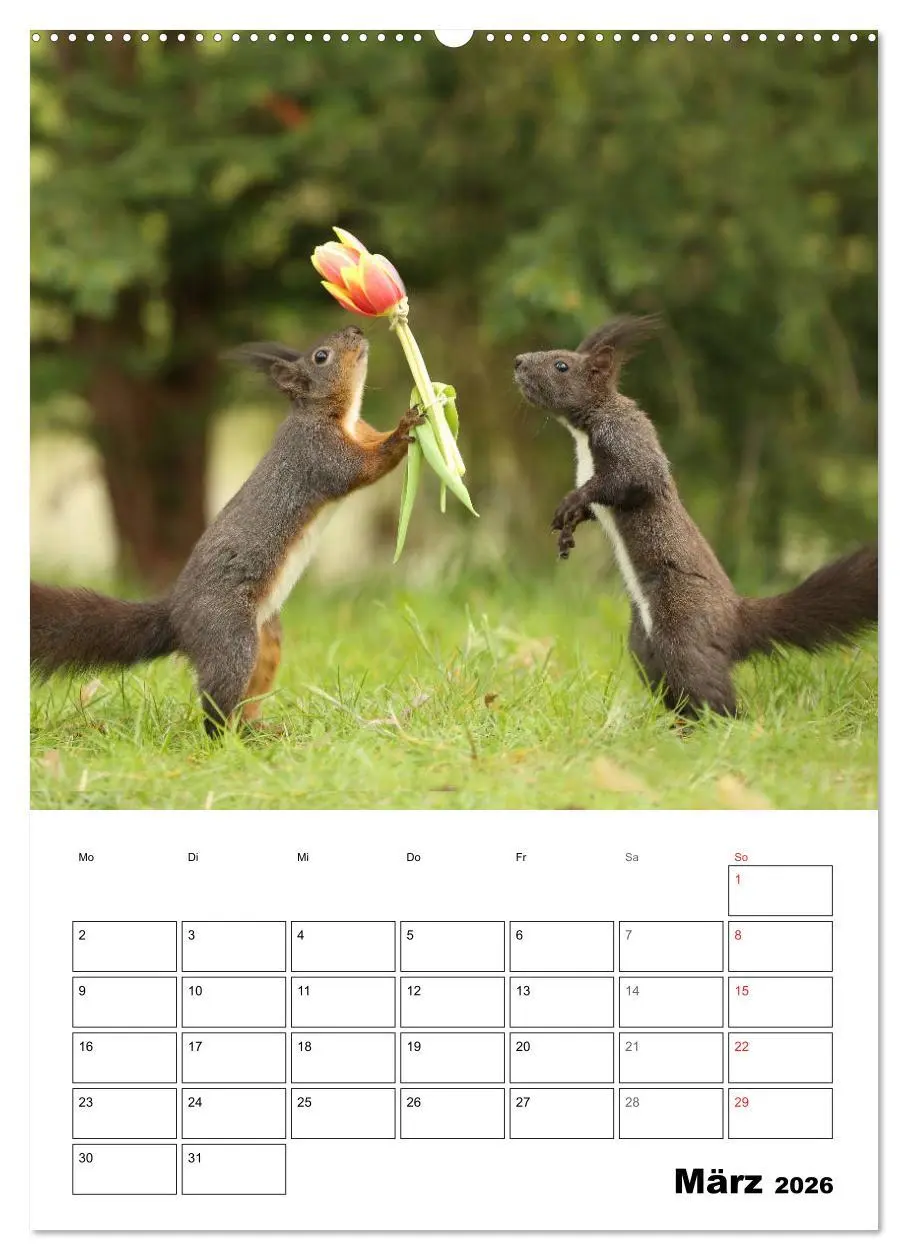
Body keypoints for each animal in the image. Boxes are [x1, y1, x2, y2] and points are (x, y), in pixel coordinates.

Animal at [31, 325, 423, 734]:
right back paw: (226, 736)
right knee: (218, 704)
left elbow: (372, 443)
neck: (339, 415)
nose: (356, 329)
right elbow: (364, 468)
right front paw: (405, 430)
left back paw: (258, 730)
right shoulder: (319, 454)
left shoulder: (360, 432)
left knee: (247, 697)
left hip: (267, 639)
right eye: (322, 356)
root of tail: (177, 617)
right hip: (231, 638)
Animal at [513, 314, 878, 717]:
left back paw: (727, 724)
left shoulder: (627, 439)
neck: (584, 431)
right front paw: (569, 527)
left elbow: (633, 478)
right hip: (645, 647)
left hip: (682, 631)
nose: (517, 361)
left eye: (561, 365)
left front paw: (571, 502)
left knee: (708, 690)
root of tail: (734, 620)